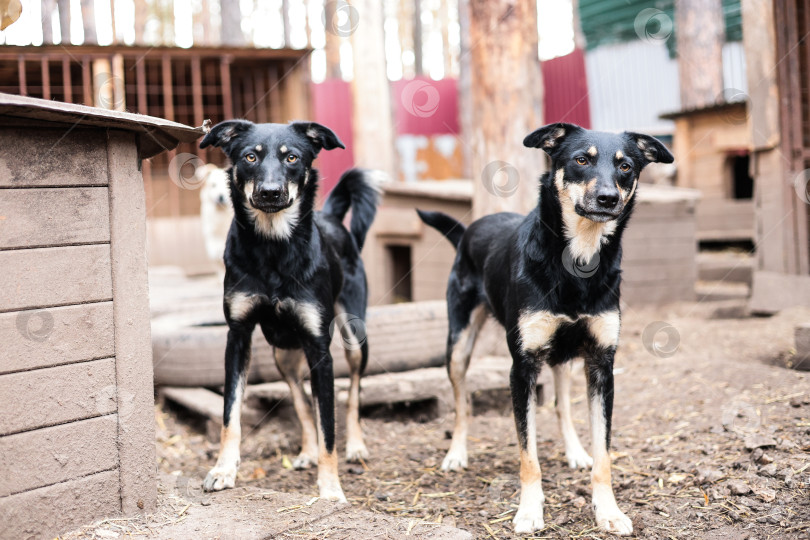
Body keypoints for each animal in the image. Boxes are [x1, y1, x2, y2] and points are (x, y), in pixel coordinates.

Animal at [200, 119, 380, 502]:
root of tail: (331, 216)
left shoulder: (319, 349)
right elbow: (231, 415)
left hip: (355, 337)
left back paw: (356, 446)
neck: (273, 247)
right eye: (250, 156)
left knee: (354, 394)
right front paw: (223, 470)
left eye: (292, 157)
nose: (270, 193)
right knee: (300, 401)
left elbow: (329, 424)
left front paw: (330, 489)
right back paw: (307, 452)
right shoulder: (238, 337)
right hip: (283, 353)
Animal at [414, 123, 672, 536]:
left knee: (562, 405)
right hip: (458, 347)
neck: (578, 260)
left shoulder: (601, 365)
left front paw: (608, 510)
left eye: (626, 167)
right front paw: (529, 511)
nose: (607, 198)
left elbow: (603, 453)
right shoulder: (523, 367)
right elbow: (528, 455)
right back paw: (456, 454)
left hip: (564, 357)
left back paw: (575, 451)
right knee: (461, 404)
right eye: (581, 159)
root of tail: (470, 229)